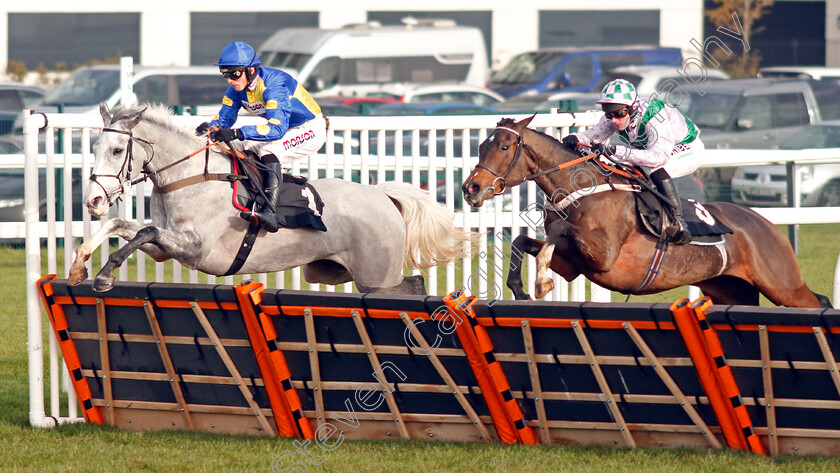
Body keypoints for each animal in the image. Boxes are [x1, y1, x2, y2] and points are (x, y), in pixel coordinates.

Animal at [69, 103, 476, 292]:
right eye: (95, 147)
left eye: (118, 150)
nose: (92, 201)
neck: (186, 177)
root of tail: (383, 196)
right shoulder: (167, 250)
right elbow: (123, 225)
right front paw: (79, 264)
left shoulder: (195, 248)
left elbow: (143, 232)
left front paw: (103, 275)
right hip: (333, 271)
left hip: (376, 275)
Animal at [462, 114, 832, 306]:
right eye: (481, 145)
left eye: (505, 146)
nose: (471, 188)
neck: (581, 188)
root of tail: (766, 224)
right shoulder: (573, 264)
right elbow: (522, 242)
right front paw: (521, 287)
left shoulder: (604, 255)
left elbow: (557, 230)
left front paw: (540, 281)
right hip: (730, 289)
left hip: (781, 284)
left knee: (818, 302)